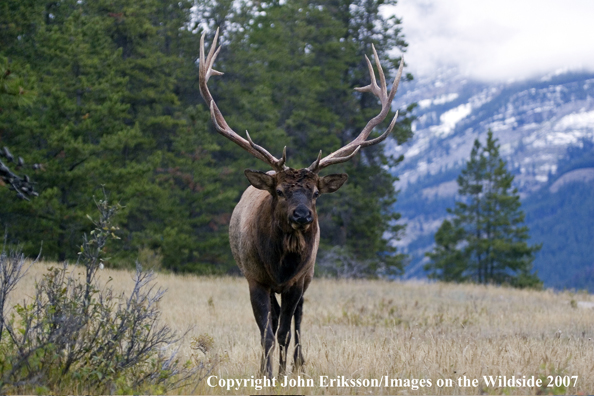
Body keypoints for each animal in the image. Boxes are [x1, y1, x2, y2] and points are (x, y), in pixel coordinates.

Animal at [199, 28, 402, 378]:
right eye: (280, 191)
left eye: (316, 193)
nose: (303, 215)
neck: (280, 264)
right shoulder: (255, 278)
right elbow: (266, 331)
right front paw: (265, 373)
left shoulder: (296, 281)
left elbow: (283, 331)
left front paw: (282, 373)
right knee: (275, 320)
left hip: (309, 277)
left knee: (296, 320)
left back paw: (298, 362)